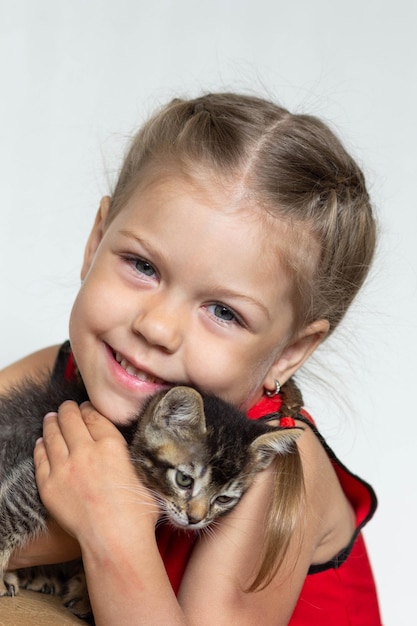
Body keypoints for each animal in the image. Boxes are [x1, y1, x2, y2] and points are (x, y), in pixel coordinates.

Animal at [0, 372, 300, 616]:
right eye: (184, 480)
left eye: (223, 499)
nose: (195, 519)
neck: (128, 435)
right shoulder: (41, 469)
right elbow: (15, 511)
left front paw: (83, 593)